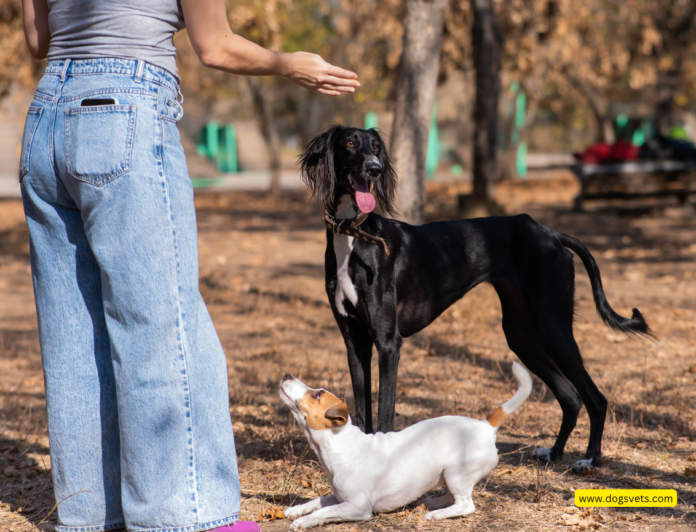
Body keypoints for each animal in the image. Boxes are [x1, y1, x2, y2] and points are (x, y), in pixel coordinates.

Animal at [278, 360, 532, 528]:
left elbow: (325, 511)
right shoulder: (340, 497)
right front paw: (297, 509)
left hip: (456, 473)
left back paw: (438, 514)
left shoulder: (358, 507)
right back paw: (435, 503)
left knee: (466, 505)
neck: (340, 444)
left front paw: (303, 521)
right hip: (447, 475)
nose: (286, 374)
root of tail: (486, 425)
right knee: (453, 497)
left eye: (317, 394)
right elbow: (318, 500)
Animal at [300, 123, 652, 470]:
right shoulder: (355, 341)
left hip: (553, 328)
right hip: (521, 334)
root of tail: (551, 234)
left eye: (375, 147)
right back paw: (554, 452)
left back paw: (591, 458)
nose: (375, 168)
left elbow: (385, 413)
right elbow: (362, 409)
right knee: (570, 395)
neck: (352, 235)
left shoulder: (388, 342)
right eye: (349, 143)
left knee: (596, 398)